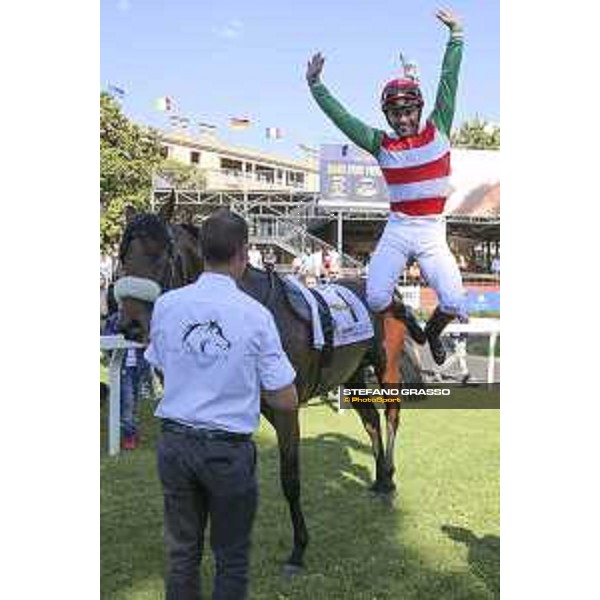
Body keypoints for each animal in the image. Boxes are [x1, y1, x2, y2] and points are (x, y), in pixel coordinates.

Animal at [113, 196, 422, 572]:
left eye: (160, 252)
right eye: (123, 255)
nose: (130, 325)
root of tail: (388, 294)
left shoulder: (286, 409)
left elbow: (290, 478)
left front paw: (299, 548)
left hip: (386, 367)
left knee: (391, 416)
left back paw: (389, 479)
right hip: (351, 374)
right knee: (372, 422)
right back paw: (378, 480)